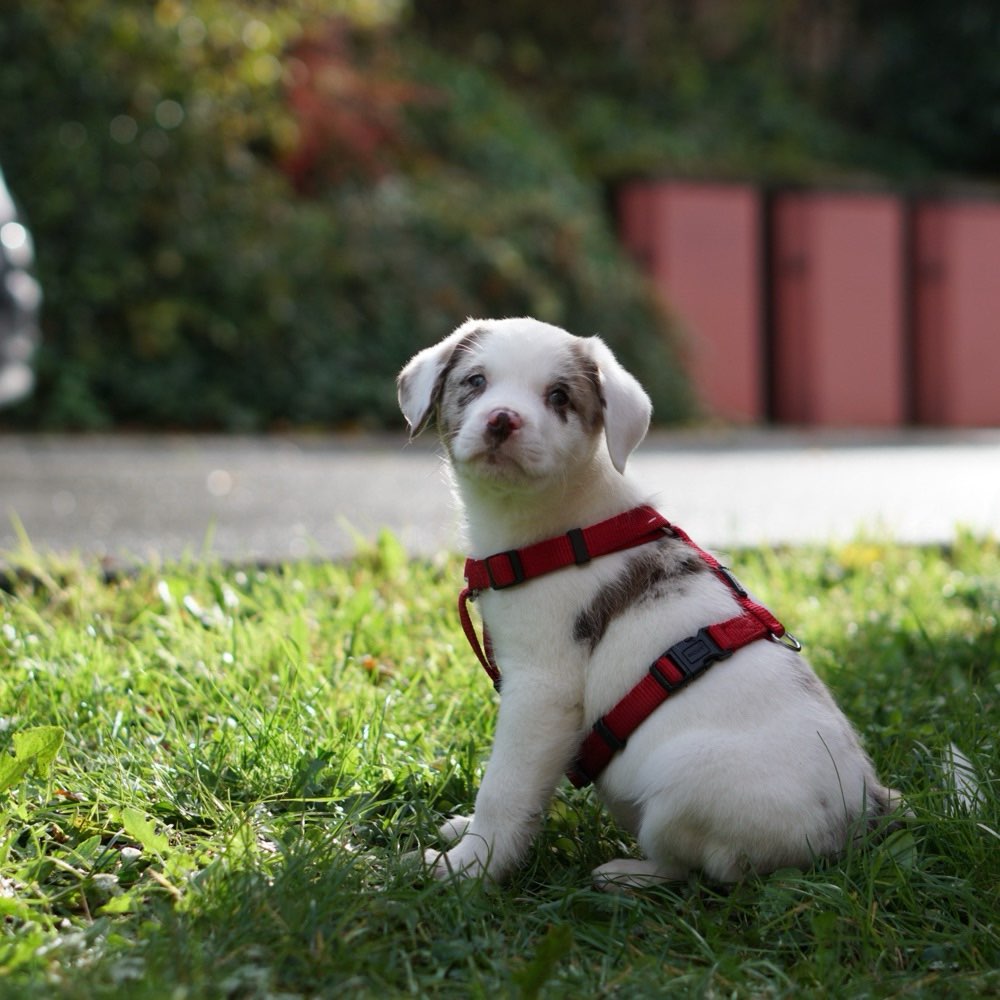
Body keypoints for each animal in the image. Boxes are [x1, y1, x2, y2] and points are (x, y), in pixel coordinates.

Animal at [396, 316, 900, 888]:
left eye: (559, 396)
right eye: (476, 382)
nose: (503, 420)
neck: (558, 527)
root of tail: (865, 810)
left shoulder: (542, 692)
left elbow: (505, 787)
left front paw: (469, 867)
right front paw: (465, 837)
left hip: (685, 778)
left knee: (704, 870)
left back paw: (626, 875)